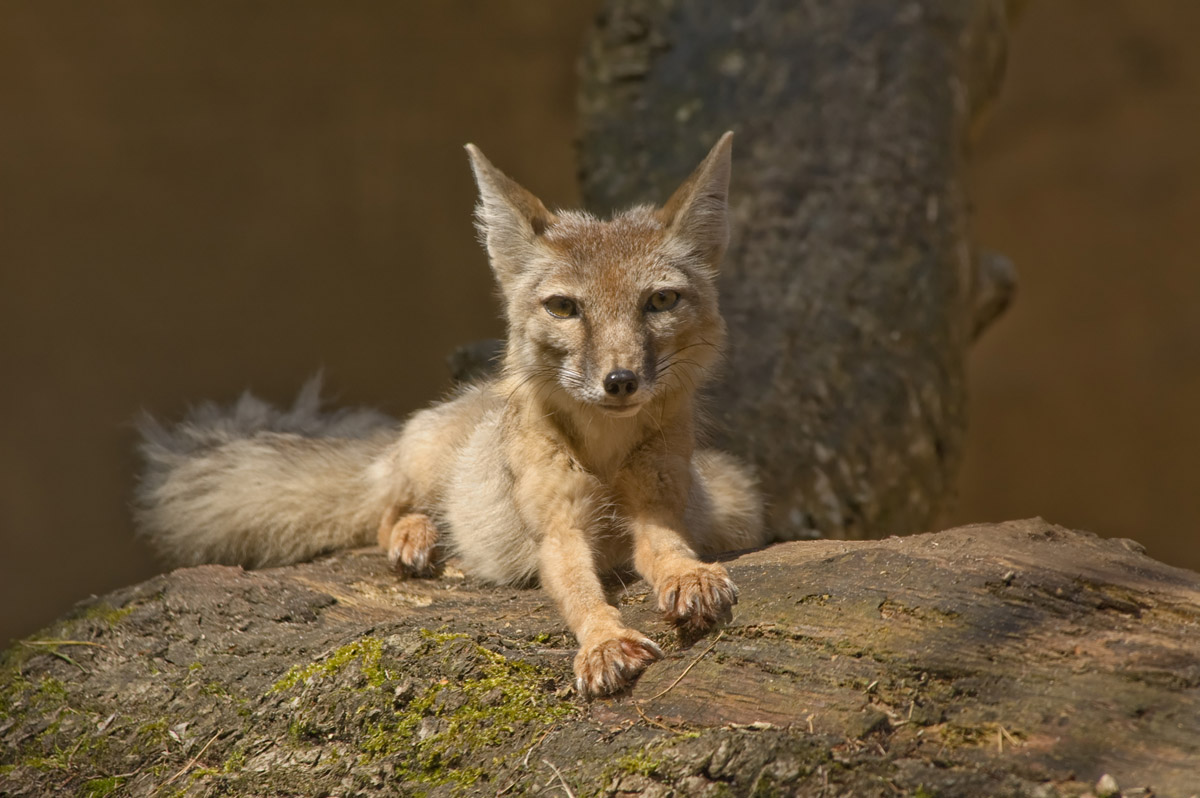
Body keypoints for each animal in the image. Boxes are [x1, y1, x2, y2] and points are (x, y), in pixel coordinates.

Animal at [133, 133, 768, 696]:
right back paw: (416, 533)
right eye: (564, 308)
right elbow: (580, 593)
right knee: (384, 512)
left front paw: (687, 577)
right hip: (420, 465)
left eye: (660, 301)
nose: (619, 382)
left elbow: (668, 550)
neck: (606, 453)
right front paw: (603, 641)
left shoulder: (659, 507)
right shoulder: (558, 532)